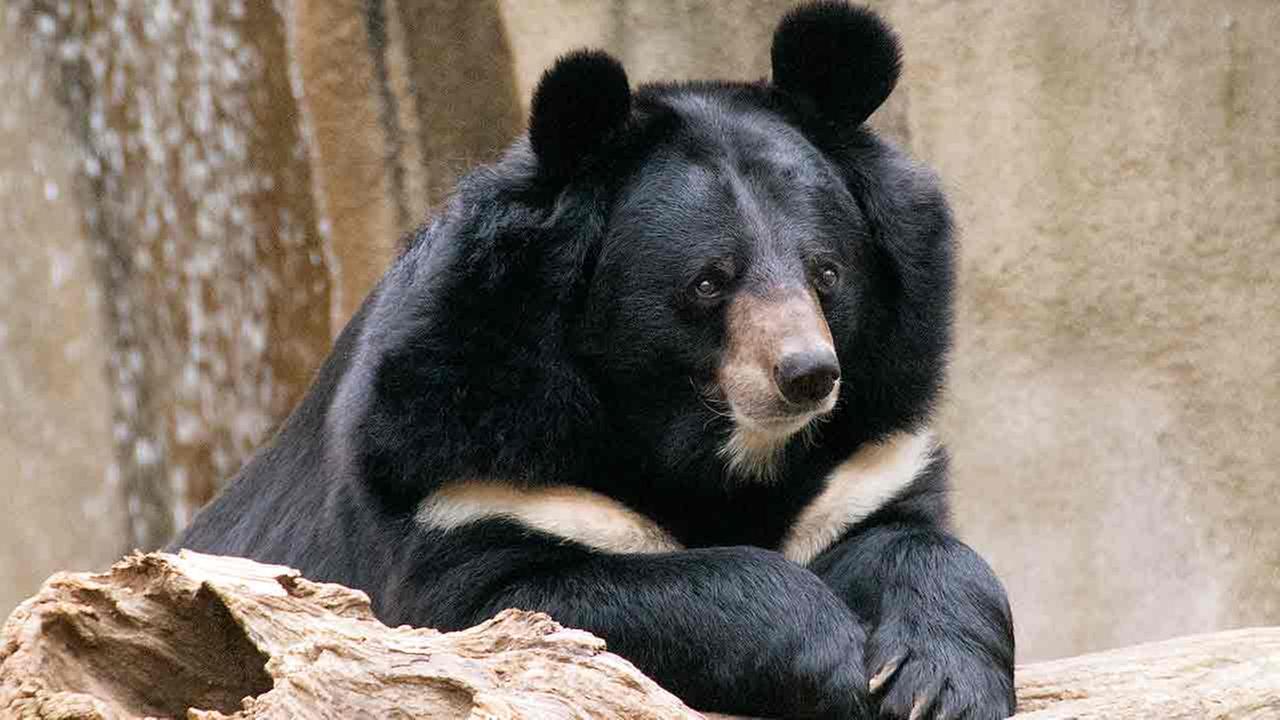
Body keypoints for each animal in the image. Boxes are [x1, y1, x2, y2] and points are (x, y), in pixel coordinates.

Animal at [171, 2, 1016, 718]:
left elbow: (922, 545)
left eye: (827, 272)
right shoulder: (458, 466)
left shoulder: (867, 458)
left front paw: (935, 684)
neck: (712, 450)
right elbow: (534, 605)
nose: (807, 374)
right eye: (708, 282)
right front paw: (835, 658)